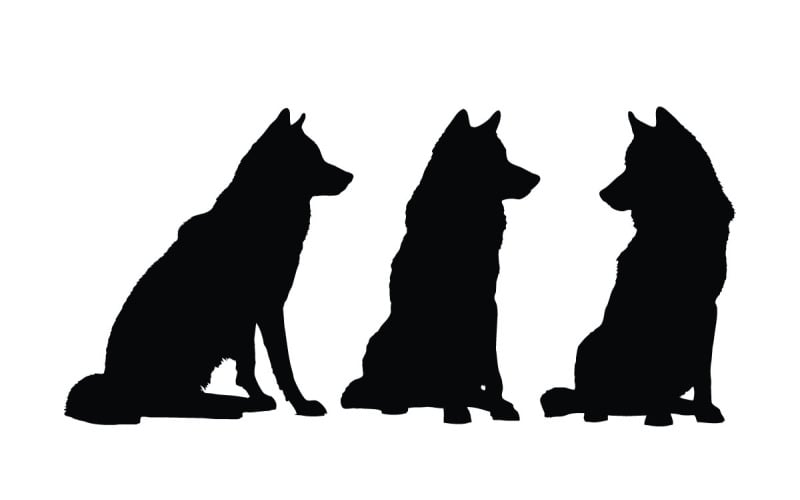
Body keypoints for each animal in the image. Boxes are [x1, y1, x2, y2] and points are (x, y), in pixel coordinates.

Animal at [66, 109, 353, 424]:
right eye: (312, 157)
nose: (350, 176)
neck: (260, 213)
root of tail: (112, 383)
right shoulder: (269, 308)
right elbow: (282, 363)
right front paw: (301, 404)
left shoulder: (246, 317)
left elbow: (248, 364)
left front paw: (259, 397)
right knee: (166, 402)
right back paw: (224, 407)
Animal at [342, 110, 540, 424]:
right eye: (495, 158)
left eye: (505, 155)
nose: (536, 179)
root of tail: (424, 397)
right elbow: (451, 367)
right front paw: (456, 411)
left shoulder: (488, 305)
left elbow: (493, 369)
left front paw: (498, 406)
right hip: (383, 339)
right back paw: (395, 402)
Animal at [541, 107, 734, 426]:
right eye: (626, 163)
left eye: (636, 165)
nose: (602, 193)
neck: (678, 224)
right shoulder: (652, 307)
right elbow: (655, 368)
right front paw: (659, 418)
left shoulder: (709, 309)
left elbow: (704, 372)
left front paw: (705, 412)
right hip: (591, 343)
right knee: (591, 396)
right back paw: (600, 412)